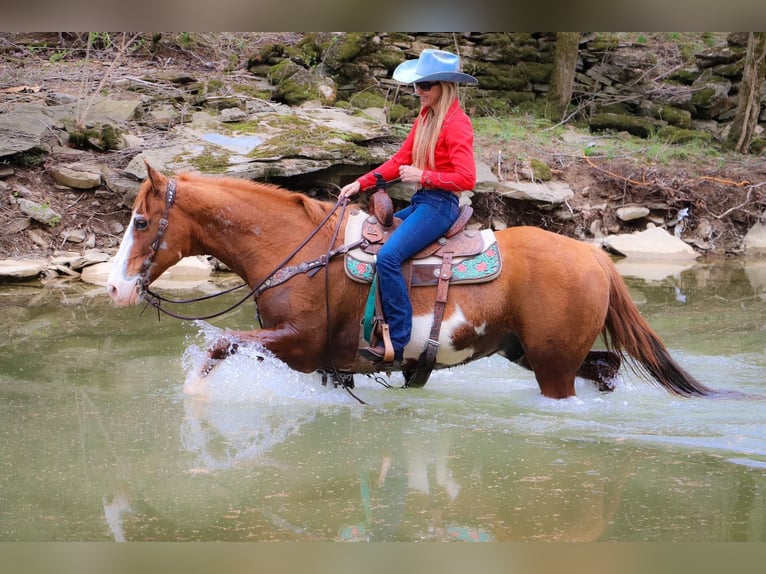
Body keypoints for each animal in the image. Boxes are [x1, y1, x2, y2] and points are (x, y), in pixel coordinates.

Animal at [105, 164, 716, 400]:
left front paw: (193, 397)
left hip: (552, 363)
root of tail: (595, 258)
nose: (114, 288)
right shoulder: (326, 364)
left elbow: (221, 344)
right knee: (606, 367)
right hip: (530, 351)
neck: (295, 250)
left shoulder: (299, 344)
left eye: (141, 222)